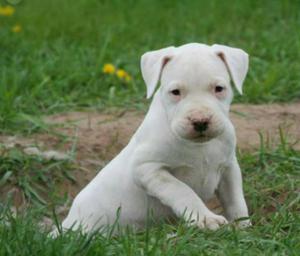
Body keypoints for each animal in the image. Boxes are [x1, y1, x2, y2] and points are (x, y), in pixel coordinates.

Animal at [58, 42, 251, 234]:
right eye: (175, 92)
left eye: (219, 89)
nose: (200, 121)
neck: (198, 146)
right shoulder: (147, 169)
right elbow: (182, 190)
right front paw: (206, 218)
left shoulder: (229, 167)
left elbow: (235, 199)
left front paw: (243, 226)